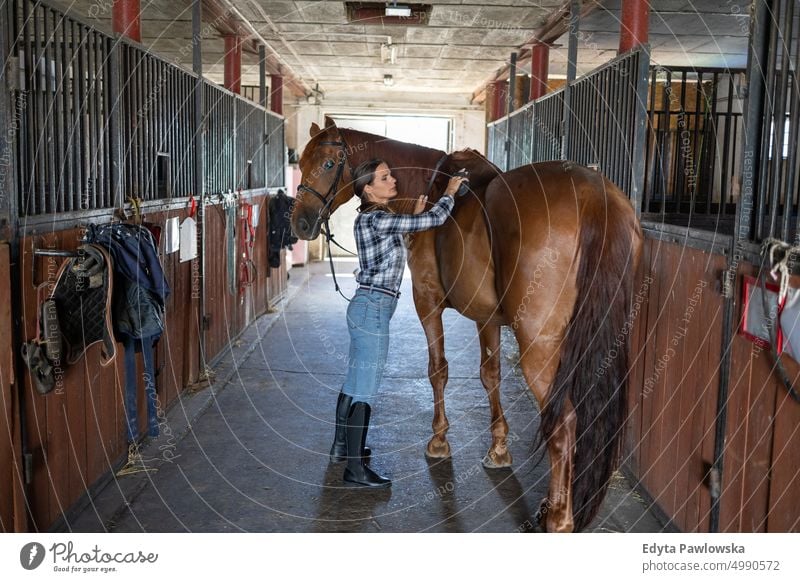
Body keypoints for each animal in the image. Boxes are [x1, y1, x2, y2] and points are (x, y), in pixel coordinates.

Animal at [294, 120, 644, 532]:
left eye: (329, 163)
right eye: (301, 161)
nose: (300, 223)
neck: (429, 188)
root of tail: (593, 197)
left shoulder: (427, 301)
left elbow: (438, 370)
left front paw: (438, 443)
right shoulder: (486, 316)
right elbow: (490, 375)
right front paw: (499, 450)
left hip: (539, 348)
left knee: (564, 423)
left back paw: (558, 518)